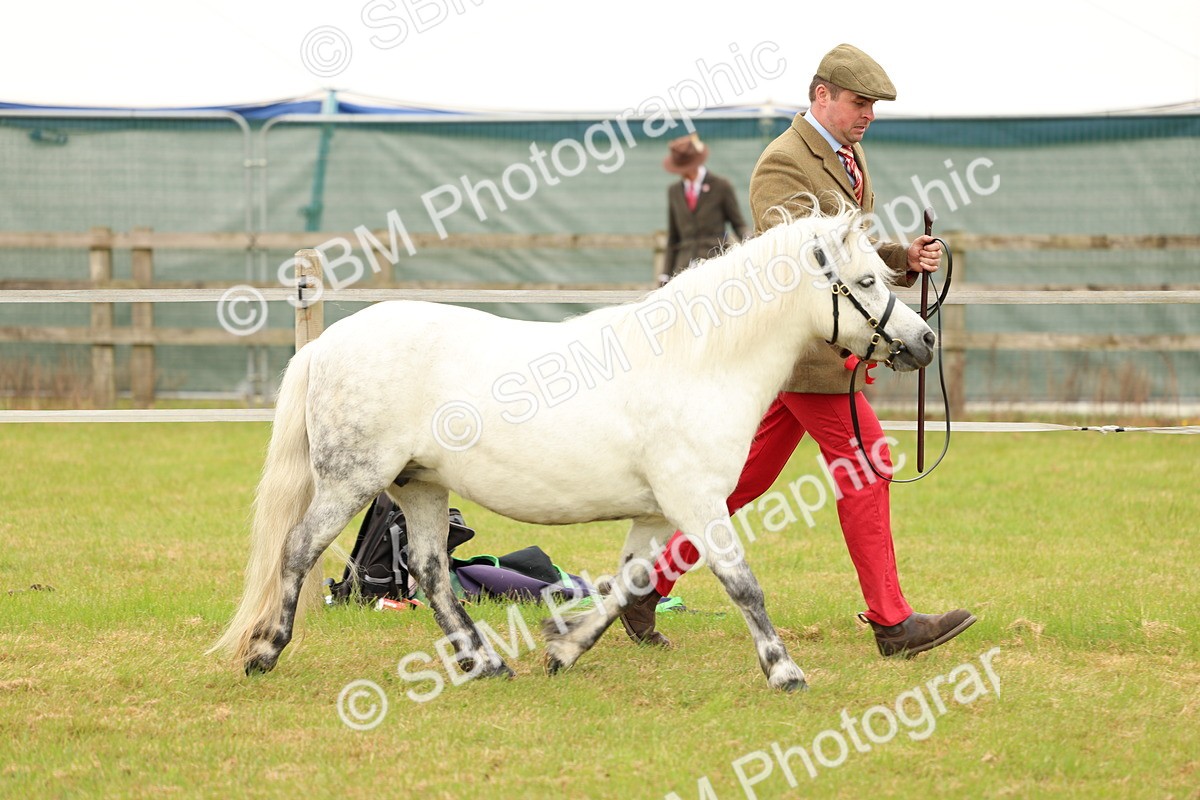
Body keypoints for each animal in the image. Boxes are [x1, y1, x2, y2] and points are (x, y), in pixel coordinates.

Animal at [210, 205, 936, 691]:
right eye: (866, 282)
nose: (924, 340)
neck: (695, 362)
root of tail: (326, 344)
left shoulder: (656, 512)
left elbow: (626, 585)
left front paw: (563, 651)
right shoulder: (696, 503)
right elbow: (743, 584)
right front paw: (784, 670)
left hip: (420, 486)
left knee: (431, 571)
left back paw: (485, 662)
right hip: (351, 481)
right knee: (298, 550)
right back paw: (265, 651)